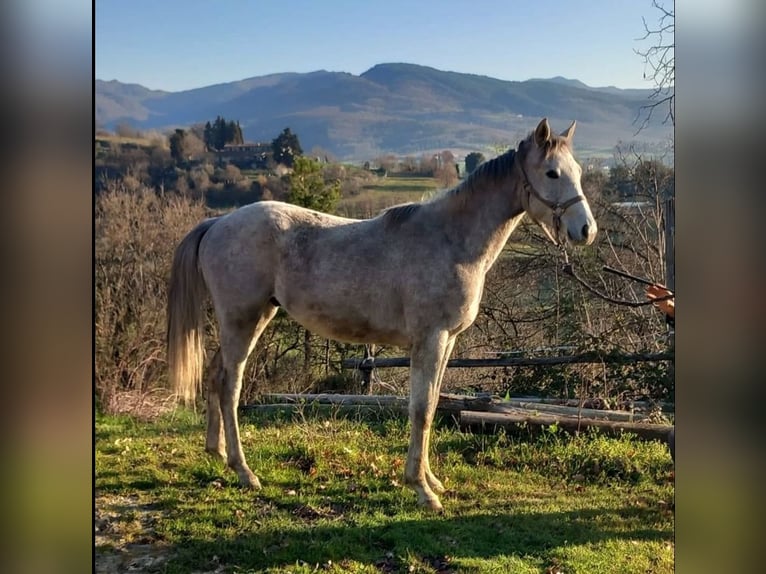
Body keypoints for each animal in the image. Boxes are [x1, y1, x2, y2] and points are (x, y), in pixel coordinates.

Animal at [168, 117, 600, 512]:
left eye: (578, 171)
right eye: (552, 172)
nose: (586, 231)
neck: (451, 239)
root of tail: (219, 222)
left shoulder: (447, 342)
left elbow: (432, 404)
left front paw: (431, 480)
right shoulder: (430, 339)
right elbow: (421, 410)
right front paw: (422, 490)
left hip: (244, 322)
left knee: (214, 375)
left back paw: (218, 454)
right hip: (243, 321)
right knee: (230, 385)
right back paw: (245, 471)